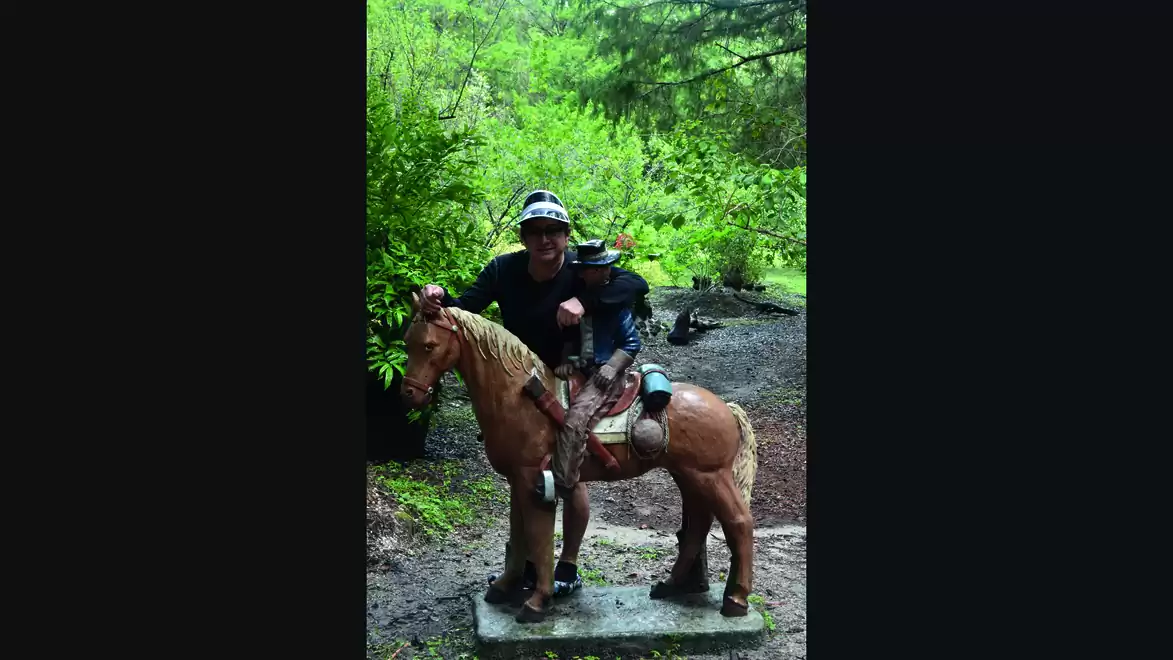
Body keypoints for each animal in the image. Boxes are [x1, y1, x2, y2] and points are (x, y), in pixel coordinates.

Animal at [400, 293, 758, 623]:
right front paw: (503, 587)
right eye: (408, 343)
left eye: (430, 345)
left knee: (739, 522)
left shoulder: (533, 478)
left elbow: (538, 536)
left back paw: (736, 599)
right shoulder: (518, 479)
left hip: (710, 475)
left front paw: (536, 602)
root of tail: (727, 408)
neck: (519, 396)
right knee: (698, 524)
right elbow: (518, 533)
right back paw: (671, 586)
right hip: (687, 474)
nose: (409, 394)